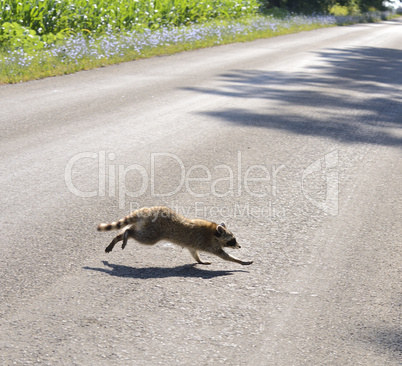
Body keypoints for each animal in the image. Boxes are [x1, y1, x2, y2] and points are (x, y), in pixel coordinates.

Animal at [97, 207, 253, 264]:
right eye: (232, 240)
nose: (239, 246)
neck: (214, 230)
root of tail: (146, 210)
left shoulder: (193, 244)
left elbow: (194, 253)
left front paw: (200, 261)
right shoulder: (209, 243)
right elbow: (224, 256)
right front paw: (240, 261)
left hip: (147, 226)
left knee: (132, 230)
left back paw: (119, 237)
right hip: (154, 231)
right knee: (139, 235)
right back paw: (126, 234)